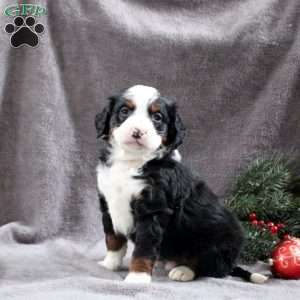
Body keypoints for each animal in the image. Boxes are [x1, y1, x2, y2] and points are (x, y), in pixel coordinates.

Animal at [94, 84, 268, 284]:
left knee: (212, 268)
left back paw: (183, 270)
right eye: (124, 111)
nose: (137, 131)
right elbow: (112, 239)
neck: (131, 162)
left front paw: (137, 277)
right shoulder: (108, 203)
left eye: (157, 117)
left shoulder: (152, 210)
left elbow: (143, 249)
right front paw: (109, 264)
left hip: (216, 241)